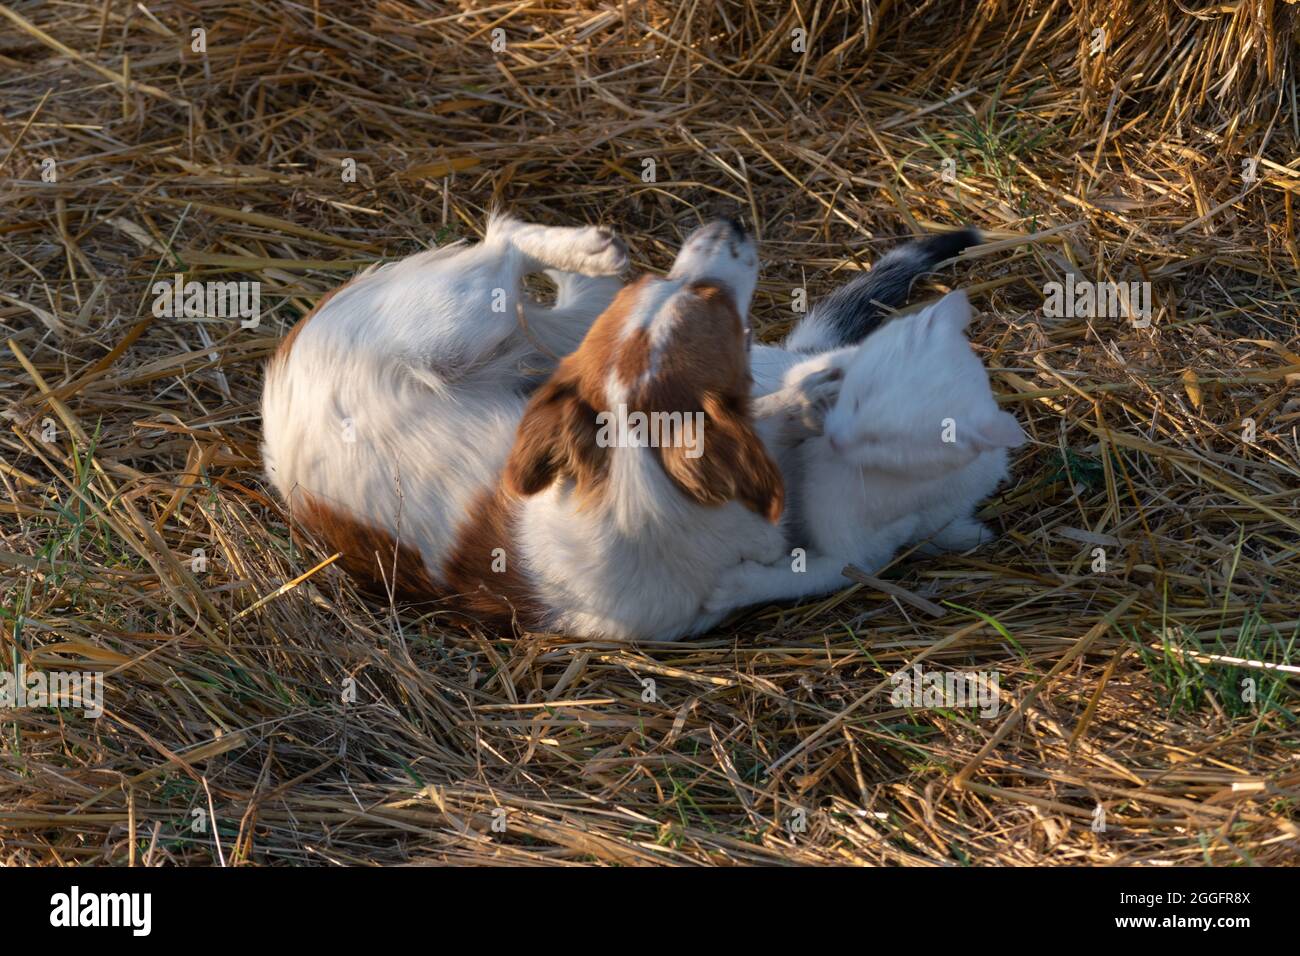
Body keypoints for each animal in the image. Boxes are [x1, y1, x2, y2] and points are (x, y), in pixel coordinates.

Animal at [263, 217, 837, 642]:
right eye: (711, 297)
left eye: (664, 284)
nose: (727, 223)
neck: (637, 482)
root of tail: (284, 364)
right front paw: (808, 397)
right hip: (462, 316)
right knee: (504, 243)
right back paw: (593, 249)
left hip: (538, 335)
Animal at [712, 287, 1024, 608]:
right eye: (860, 396)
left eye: (889, 441)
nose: (835, 438)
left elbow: (844, 563)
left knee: (841, 567)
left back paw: (736, 588)